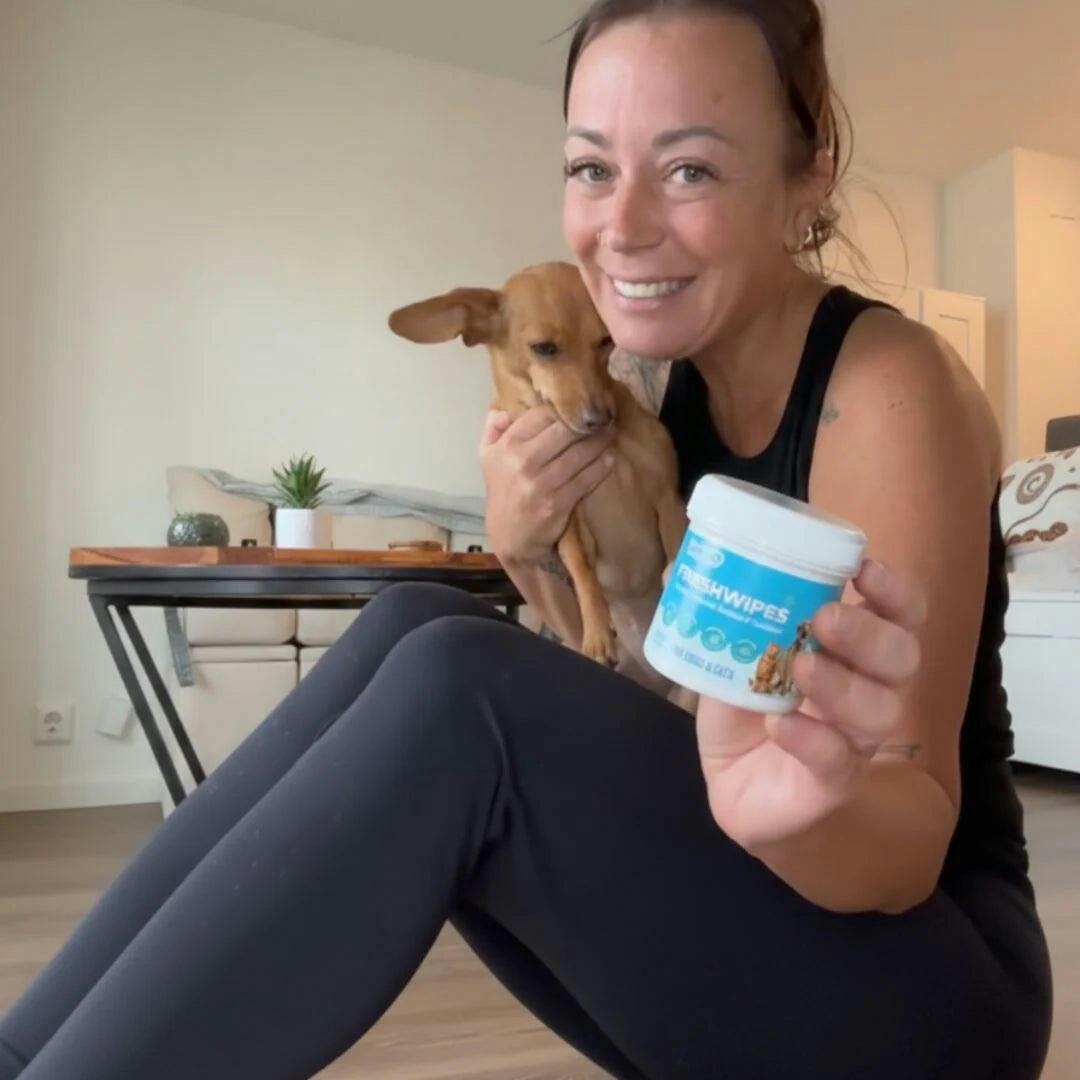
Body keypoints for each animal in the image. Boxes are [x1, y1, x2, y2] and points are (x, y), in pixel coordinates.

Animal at [388, 261, 688, 692]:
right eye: (544, 348)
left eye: (606, 341)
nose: (600, 419)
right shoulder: (569, 521)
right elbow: (580, 567)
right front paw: (597, 631)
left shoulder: (667, 498)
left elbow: (678, 550)